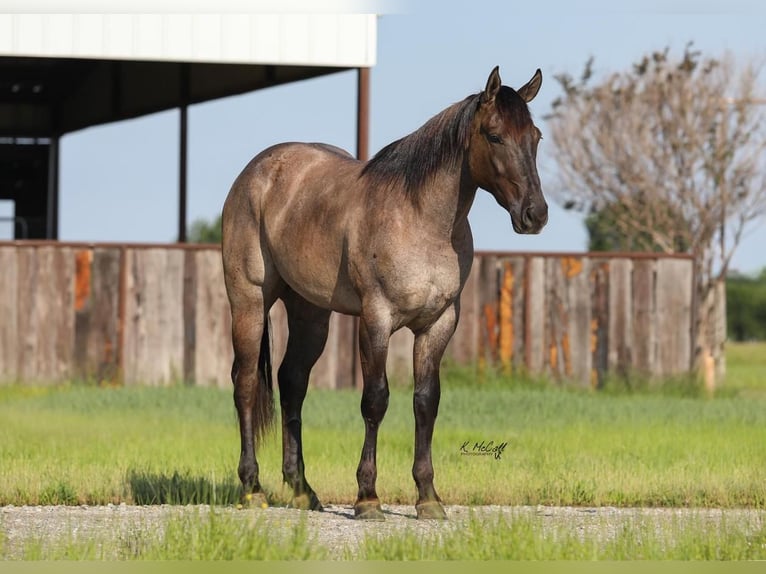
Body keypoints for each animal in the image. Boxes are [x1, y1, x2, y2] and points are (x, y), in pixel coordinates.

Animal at [225, 67, 548, 520]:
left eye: (535, 136)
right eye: (496, 135)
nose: (535, 214)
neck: (420, 221)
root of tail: (256, 172)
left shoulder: (438, 324)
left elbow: (426, 402)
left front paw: (428, 498)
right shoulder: (376, 319)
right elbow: (375, 400)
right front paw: (367, 497)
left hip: (310, 313)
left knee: (292, 383)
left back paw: (302, 490)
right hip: (249, 302)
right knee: (246, 383)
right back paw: (252, 487)